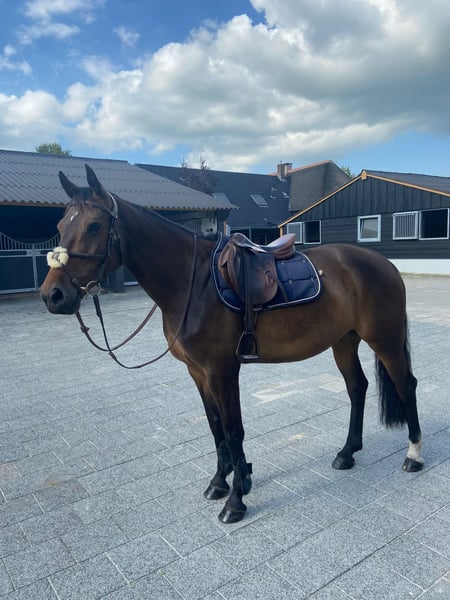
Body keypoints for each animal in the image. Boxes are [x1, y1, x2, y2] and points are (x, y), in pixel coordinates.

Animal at [40, 165, 424, 523]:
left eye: (93, 226)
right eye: (59, 224)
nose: (52, 295)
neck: (192, 282)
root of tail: (384, 263)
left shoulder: (222, 370)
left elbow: (233, 429)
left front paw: (236, 499)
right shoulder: (197, 372)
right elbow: (215, 427)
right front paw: (220, 482)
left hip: (385, 338)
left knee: (406, 384)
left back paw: (413, 455)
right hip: (344, 341)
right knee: (357, 388)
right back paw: (347, 453)